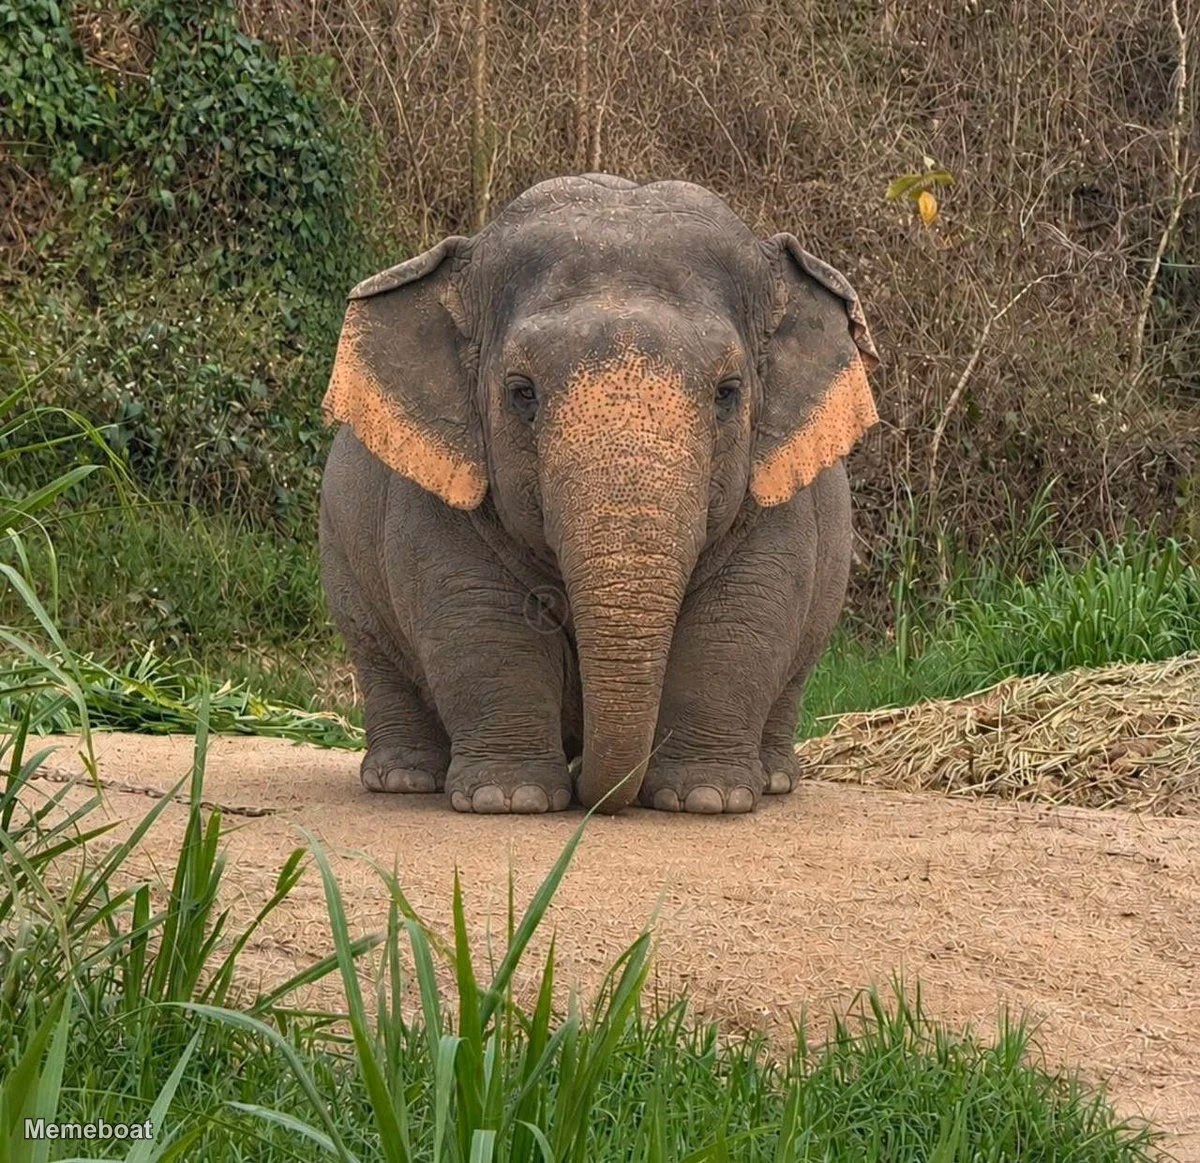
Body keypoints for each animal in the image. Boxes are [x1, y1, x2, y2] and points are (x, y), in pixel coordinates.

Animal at [319, 174, 879, 816]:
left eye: (729, 392)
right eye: (522, 392)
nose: (596, 790)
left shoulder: (775, 489)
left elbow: (741, 613)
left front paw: (707, 799)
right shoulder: (438, 488)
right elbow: (478, 614)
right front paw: (508, 799)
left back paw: (776, 780)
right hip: (342, 557)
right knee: (378, 656)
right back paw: (404, 780)